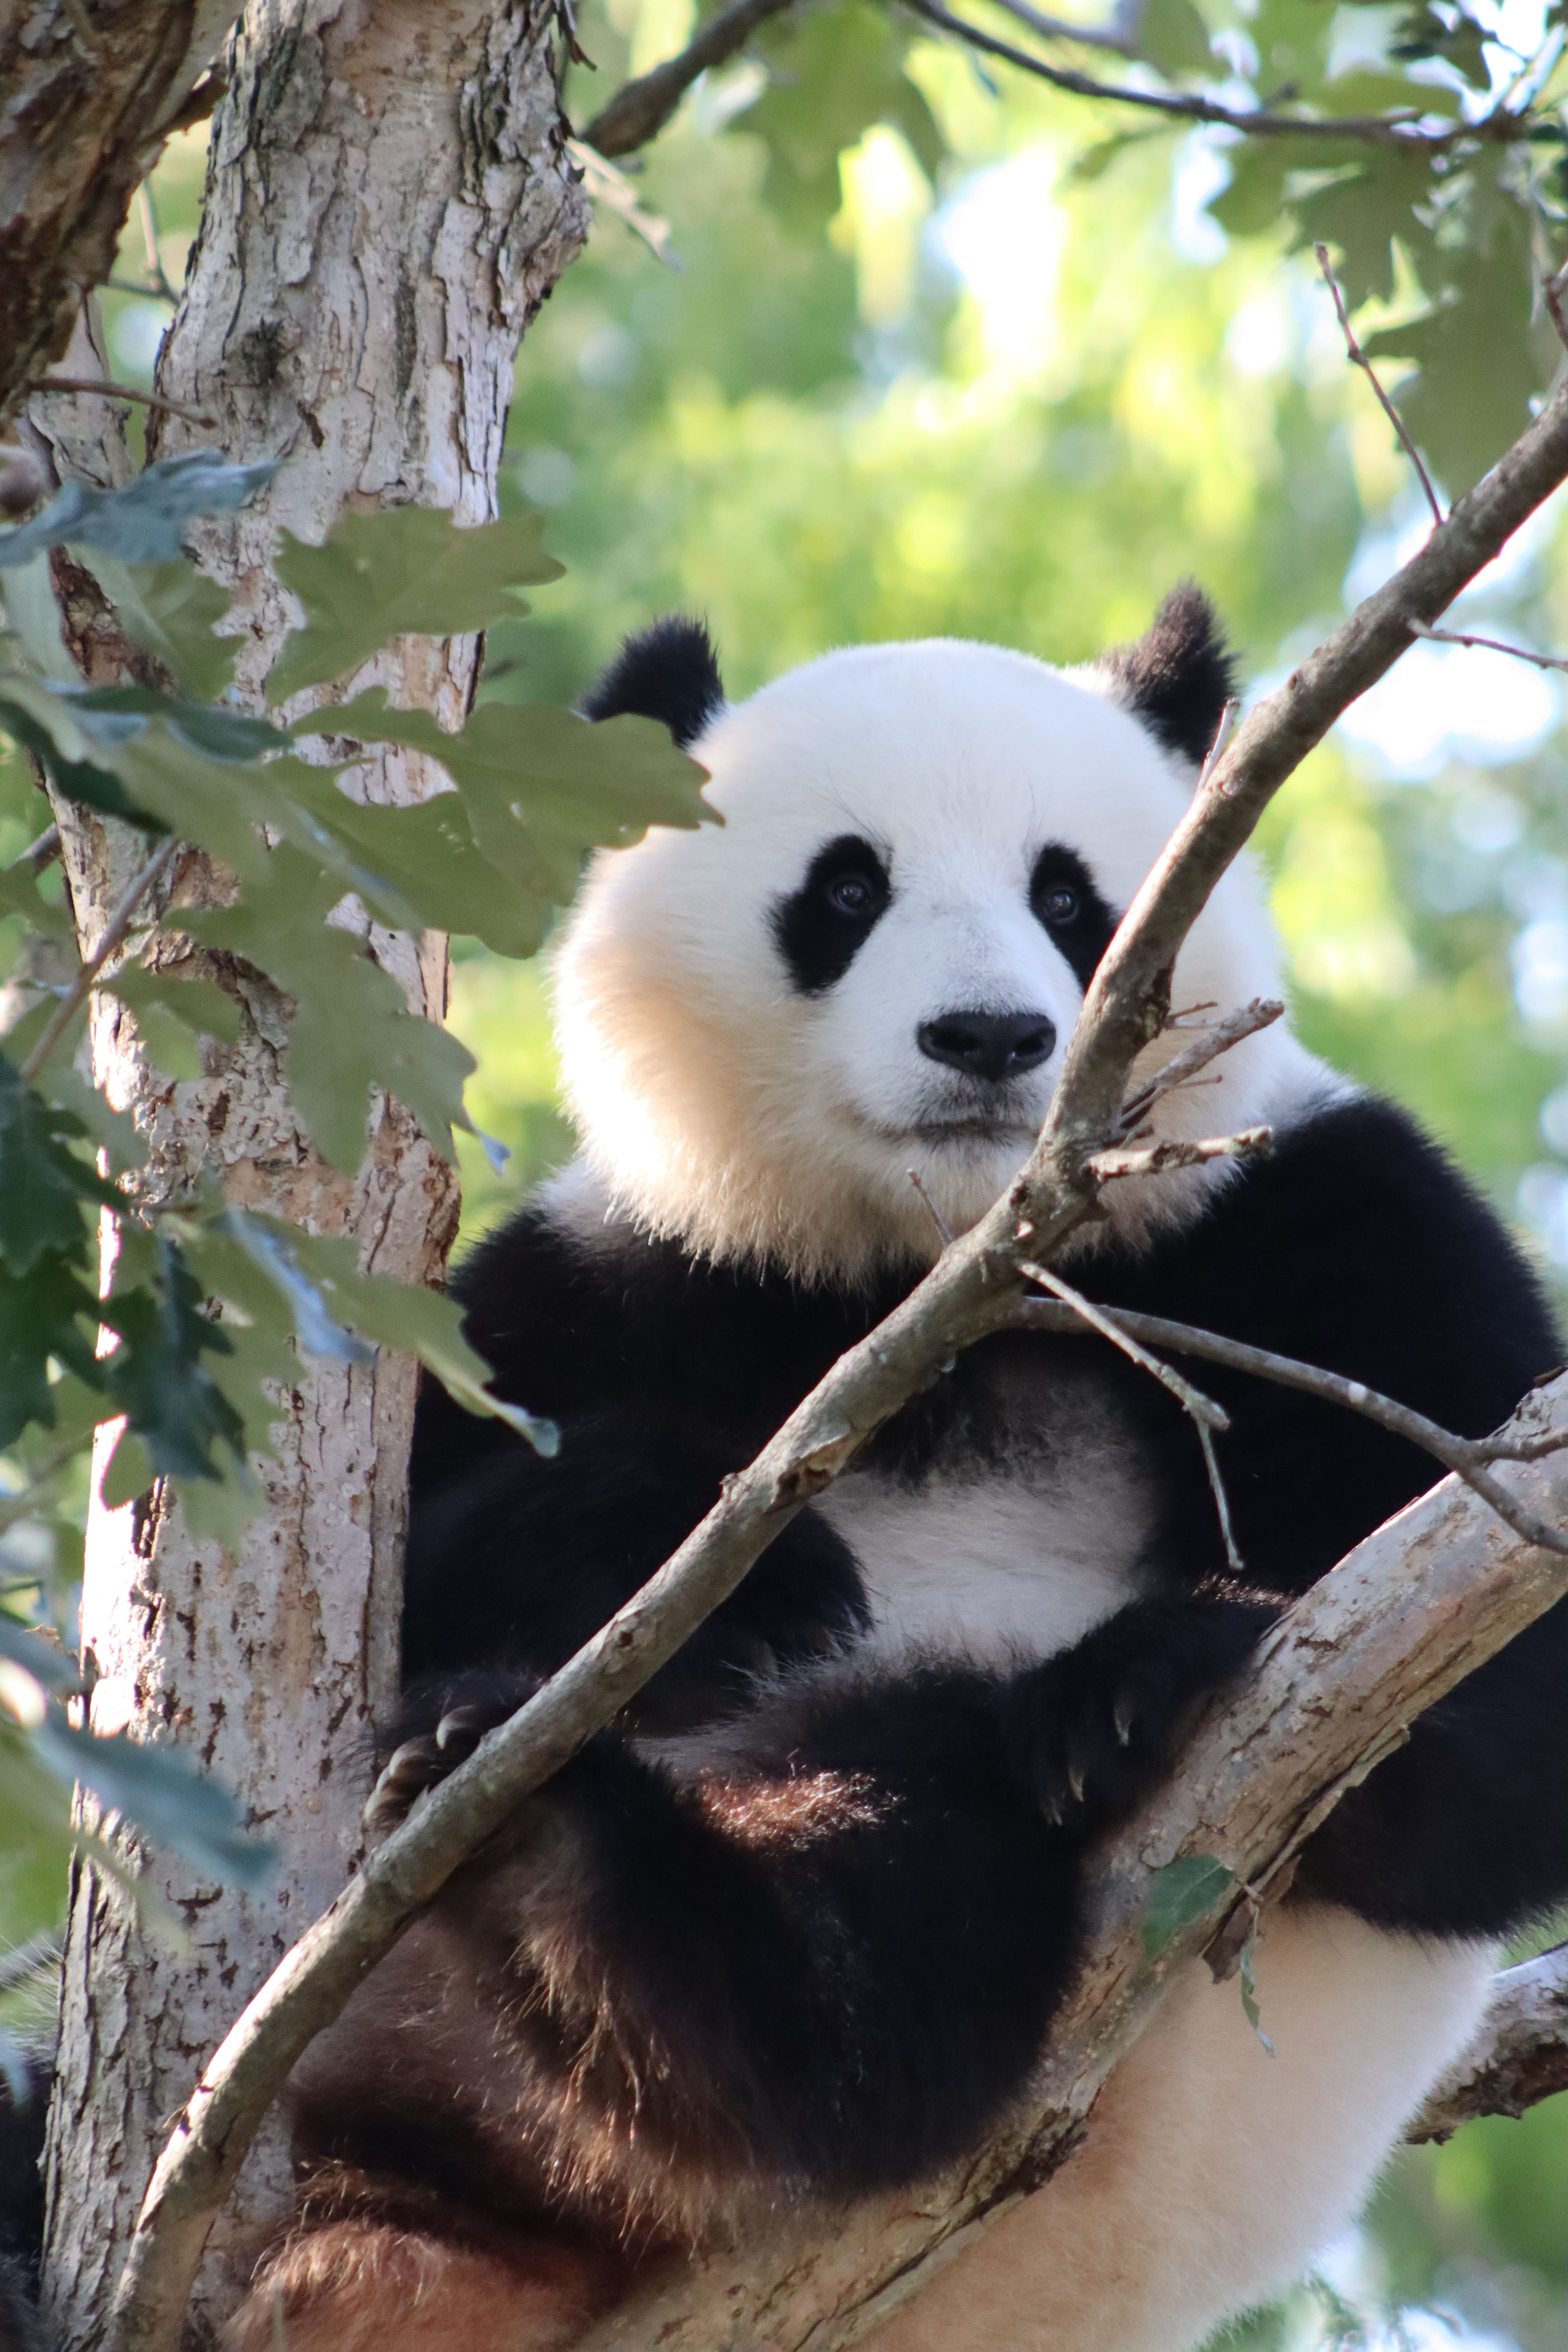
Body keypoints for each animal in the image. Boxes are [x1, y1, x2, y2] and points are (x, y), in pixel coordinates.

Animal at [227, 590, 1568, 2352]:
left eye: (1069, 896)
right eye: (846, 888)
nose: (989, 1039)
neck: (946, 1272)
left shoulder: (1326, 1219)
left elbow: (1500, 1725)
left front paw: (1160, 1672)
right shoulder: (625, 1277)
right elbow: (397, 1574)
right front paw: (725, 1553)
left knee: (900, 1903)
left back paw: (573, 1860)